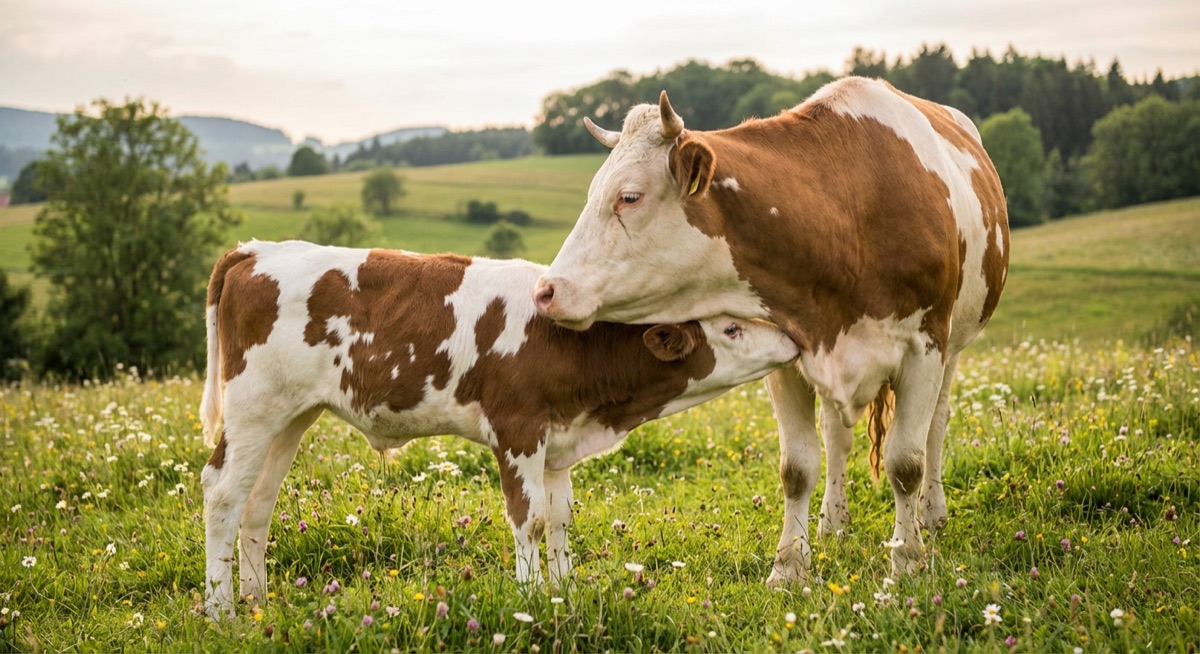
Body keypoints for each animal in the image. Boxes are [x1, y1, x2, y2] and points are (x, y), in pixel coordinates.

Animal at [199, 239, 799, 619]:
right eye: (731, 328)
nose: (791, 339)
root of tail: (254, 250)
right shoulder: (518, 430)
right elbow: (529, 520)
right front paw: (531, 601)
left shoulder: (557, 442)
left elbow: (559, 519)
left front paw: (561, 594)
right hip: (254, 406)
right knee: (223, 492)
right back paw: (221, 608)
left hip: (292, 415)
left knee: (258, 501)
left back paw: (256, 599)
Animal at [533, 76, 1010, 585]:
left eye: (629, 197)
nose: (546, 290)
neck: (844, 212)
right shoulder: (787, 351)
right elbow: (797, 466)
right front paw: (789, 567)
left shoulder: (925, 347)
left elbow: (906, 463)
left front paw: (905, 563)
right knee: (836, 436)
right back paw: (833, 522)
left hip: (954, 346)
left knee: (935, 427)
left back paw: (931, 516)